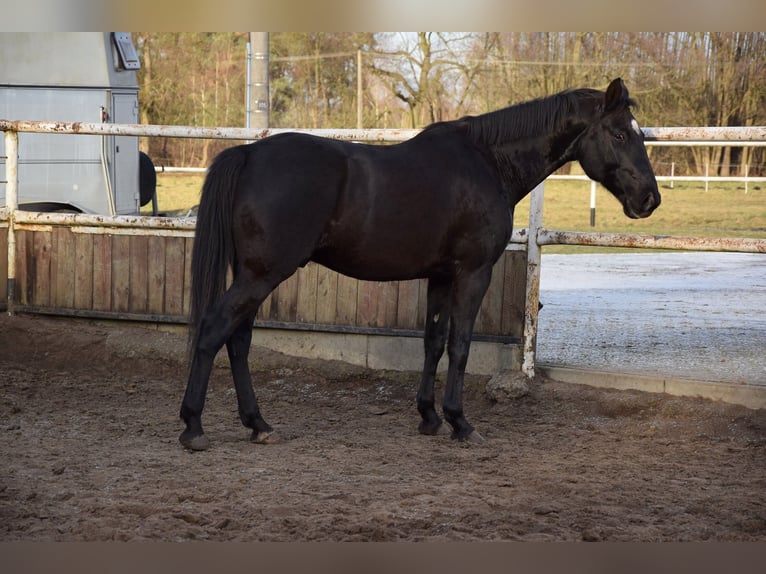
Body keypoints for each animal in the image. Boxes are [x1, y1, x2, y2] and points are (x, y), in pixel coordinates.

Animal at [179, 77, 660, 450]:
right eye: (620, 134)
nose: (649, 200)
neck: (488, 162)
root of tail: (247, 155)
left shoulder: (441, 277)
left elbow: (433, 342)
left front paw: (429, 417)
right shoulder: (473, 273)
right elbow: (460, 345)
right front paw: (461, 422)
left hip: (254, 274)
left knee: (238, 340)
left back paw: (258, 424)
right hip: (263, 274)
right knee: (214, 330)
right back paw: (193, 427)